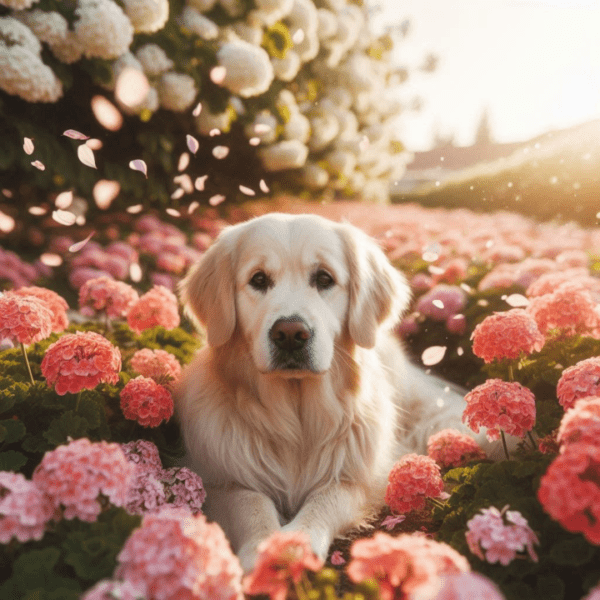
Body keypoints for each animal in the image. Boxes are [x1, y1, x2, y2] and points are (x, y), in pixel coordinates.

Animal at [178, 212, 482, 572]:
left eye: (324, 278)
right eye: (258, 279)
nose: (290, 334)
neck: (296, 416)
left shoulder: (361, 477)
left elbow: (326, 497)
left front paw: (297, 540)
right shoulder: (216, 478)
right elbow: (249, 501)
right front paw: (262, 544)